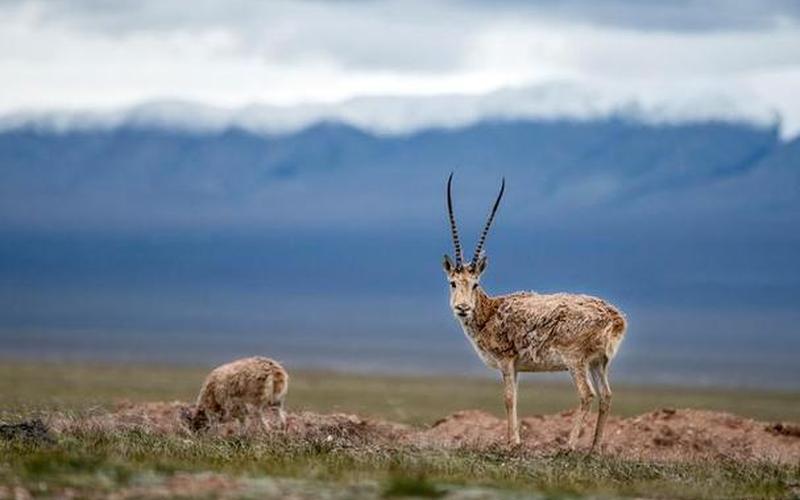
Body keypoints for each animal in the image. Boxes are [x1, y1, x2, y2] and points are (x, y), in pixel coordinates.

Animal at [444, 174, 624, 452]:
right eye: (453, 282)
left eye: (475, 283)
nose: (462, 307)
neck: (491, 312)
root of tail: (615, 318)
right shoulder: (517, 366)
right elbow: (516, 397)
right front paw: (516, 441)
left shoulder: (506, 360)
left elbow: (508, 398)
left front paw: (511, 444)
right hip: (599, 362)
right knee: (606, 395)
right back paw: (594, 449)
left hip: (575, 361)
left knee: (587, 395)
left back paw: (568, 447)